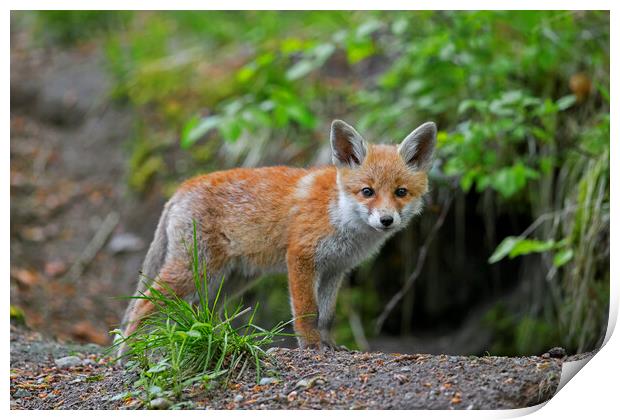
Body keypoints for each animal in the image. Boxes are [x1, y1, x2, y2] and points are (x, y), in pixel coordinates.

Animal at [117, 120, 436, 356]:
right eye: (367, 192)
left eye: (401, 192)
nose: (386, 220)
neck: (339, 214)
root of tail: (181, 189)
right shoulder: (302, 258)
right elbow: (307, 311)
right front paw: (311, 346)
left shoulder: (335, 269)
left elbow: (327, 316)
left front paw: (329, 345)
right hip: (195, 272)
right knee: (142, 306)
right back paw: (129, 355)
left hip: (227, 281)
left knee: (198, 311)